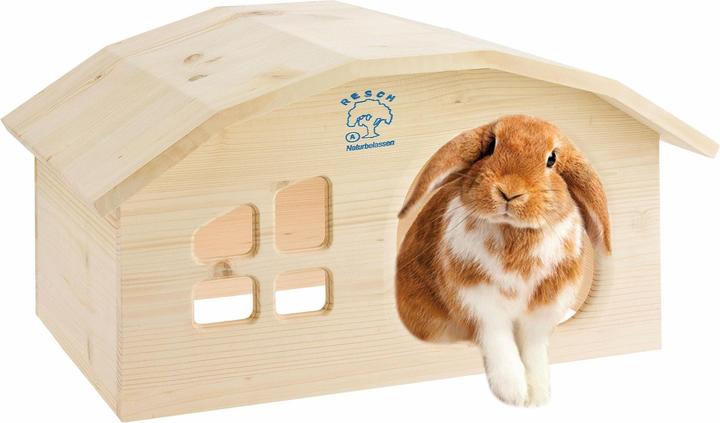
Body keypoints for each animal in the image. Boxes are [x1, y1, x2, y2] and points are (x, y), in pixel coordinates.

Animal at [396, 115, 610, 407]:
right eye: (490, 147)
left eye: (552, 159)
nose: (510, 192)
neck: (514, 233)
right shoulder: (482, 306)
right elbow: (500, 344)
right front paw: (514, 393)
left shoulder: (540, 314)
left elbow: (534, 352)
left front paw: (538, 395)